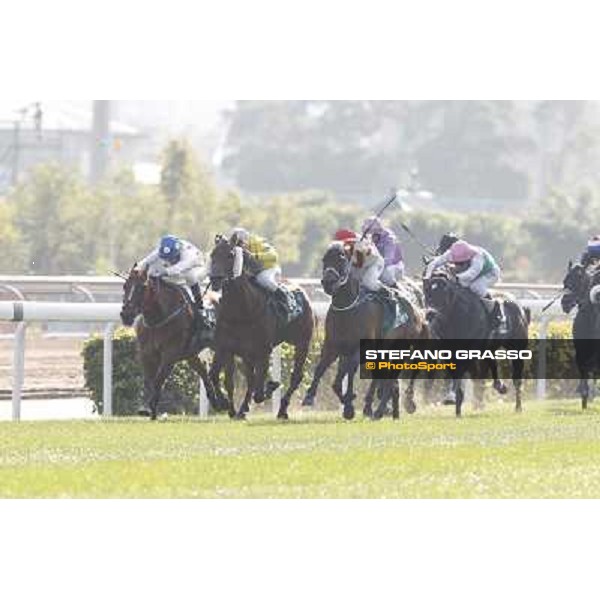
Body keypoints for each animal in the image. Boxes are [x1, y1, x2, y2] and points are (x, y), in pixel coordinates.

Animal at [120, 270, 229, 420]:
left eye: (142, 287)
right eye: (125, 286)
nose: (126, 314)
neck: (157, 320)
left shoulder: (170, 356)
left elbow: (158, 381)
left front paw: (151, 407)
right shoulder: (146, 355)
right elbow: (148, 381)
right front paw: (148, 409)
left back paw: (226, 402)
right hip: (191, 355)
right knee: (204, 372)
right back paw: (218, 402)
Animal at [209, 237, 314, 420]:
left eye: (230, 255)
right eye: (212, 255)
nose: (215, 278)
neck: (242, 311)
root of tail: (302, 291)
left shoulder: (263, 351)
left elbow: (259, 391)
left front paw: (271, 386)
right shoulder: (225, 348)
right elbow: (216, 376)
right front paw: (225, 404)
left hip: (302, 342)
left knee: (296, 376)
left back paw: (282, 409)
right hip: (248, 354)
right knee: (251, 379)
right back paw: (242, 409)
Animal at [302, 241, 428, 420]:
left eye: (342, 259)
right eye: (324, 260)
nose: (328, 283)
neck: (348, 308)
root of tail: (417, 313)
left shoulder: (361, 348)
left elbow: (350, 371)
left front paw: (349, 405)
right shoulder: (333, 345)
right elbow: (323, 370)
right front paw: (311, 396)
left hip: (400, 350)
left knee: (390, 381)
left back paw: (379, 410)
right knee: (385, 380)